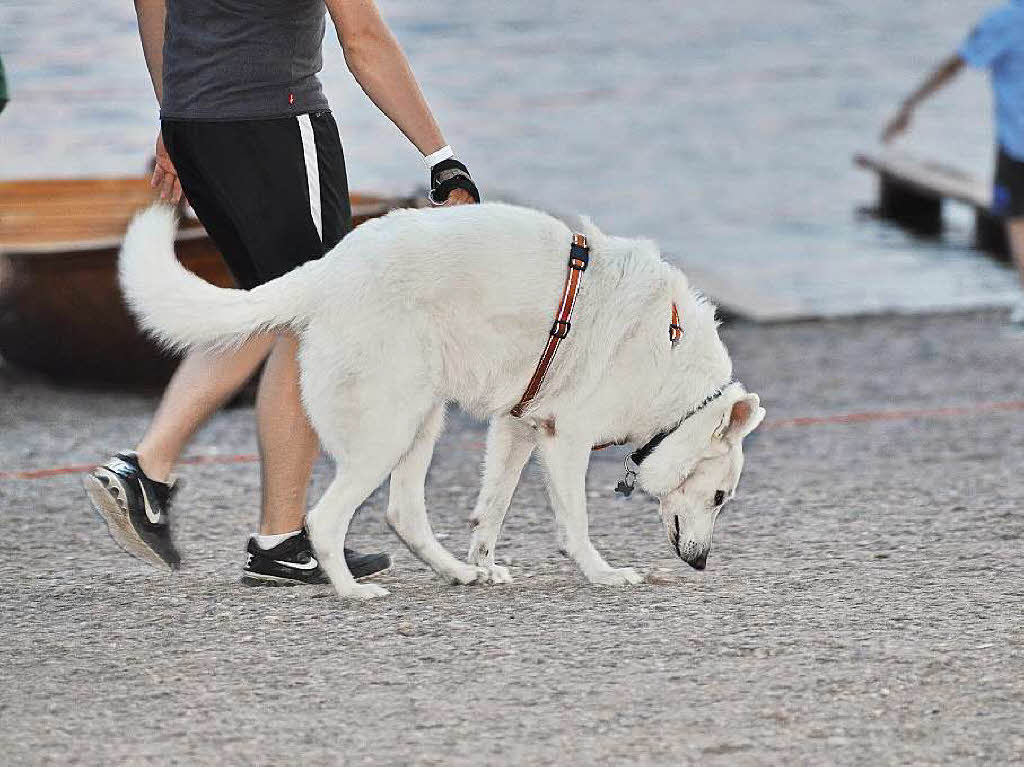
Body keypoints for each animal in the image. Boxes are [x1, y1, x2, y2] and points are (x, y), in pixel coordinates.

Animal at [117, 203, 761, 598]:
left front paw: (485, 564)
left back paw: (458, 574)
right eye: (721, 497)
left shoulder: (516, 428)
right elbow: (574, 523)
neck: (670, 364)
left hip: (422, 420)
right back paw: (353, 591)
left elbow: (490, 511)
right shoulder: (566, 440)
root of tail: (326, 271)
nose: (701, 564)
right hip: (391, 430)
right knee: (326, 518)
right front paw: (602, 575)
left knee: (403, 514)